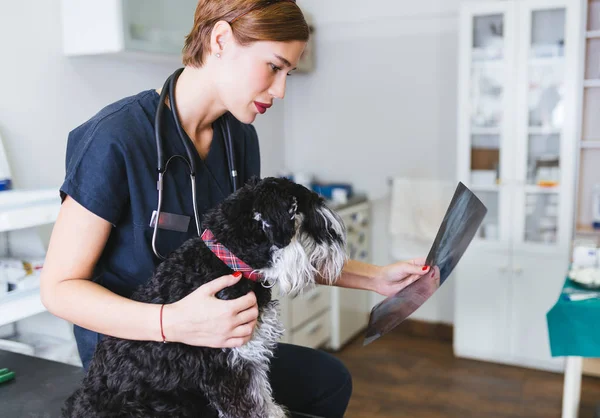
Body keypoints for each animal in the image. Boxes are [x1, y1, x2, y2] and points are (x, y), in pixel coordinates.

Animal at [62, 177, 346, 418]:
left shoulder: (248, 358)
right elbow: (249, 406)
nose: (340, 252)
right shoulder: (228, 367)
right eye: (312, 213)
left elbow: (261, 396)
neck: (226, 261)